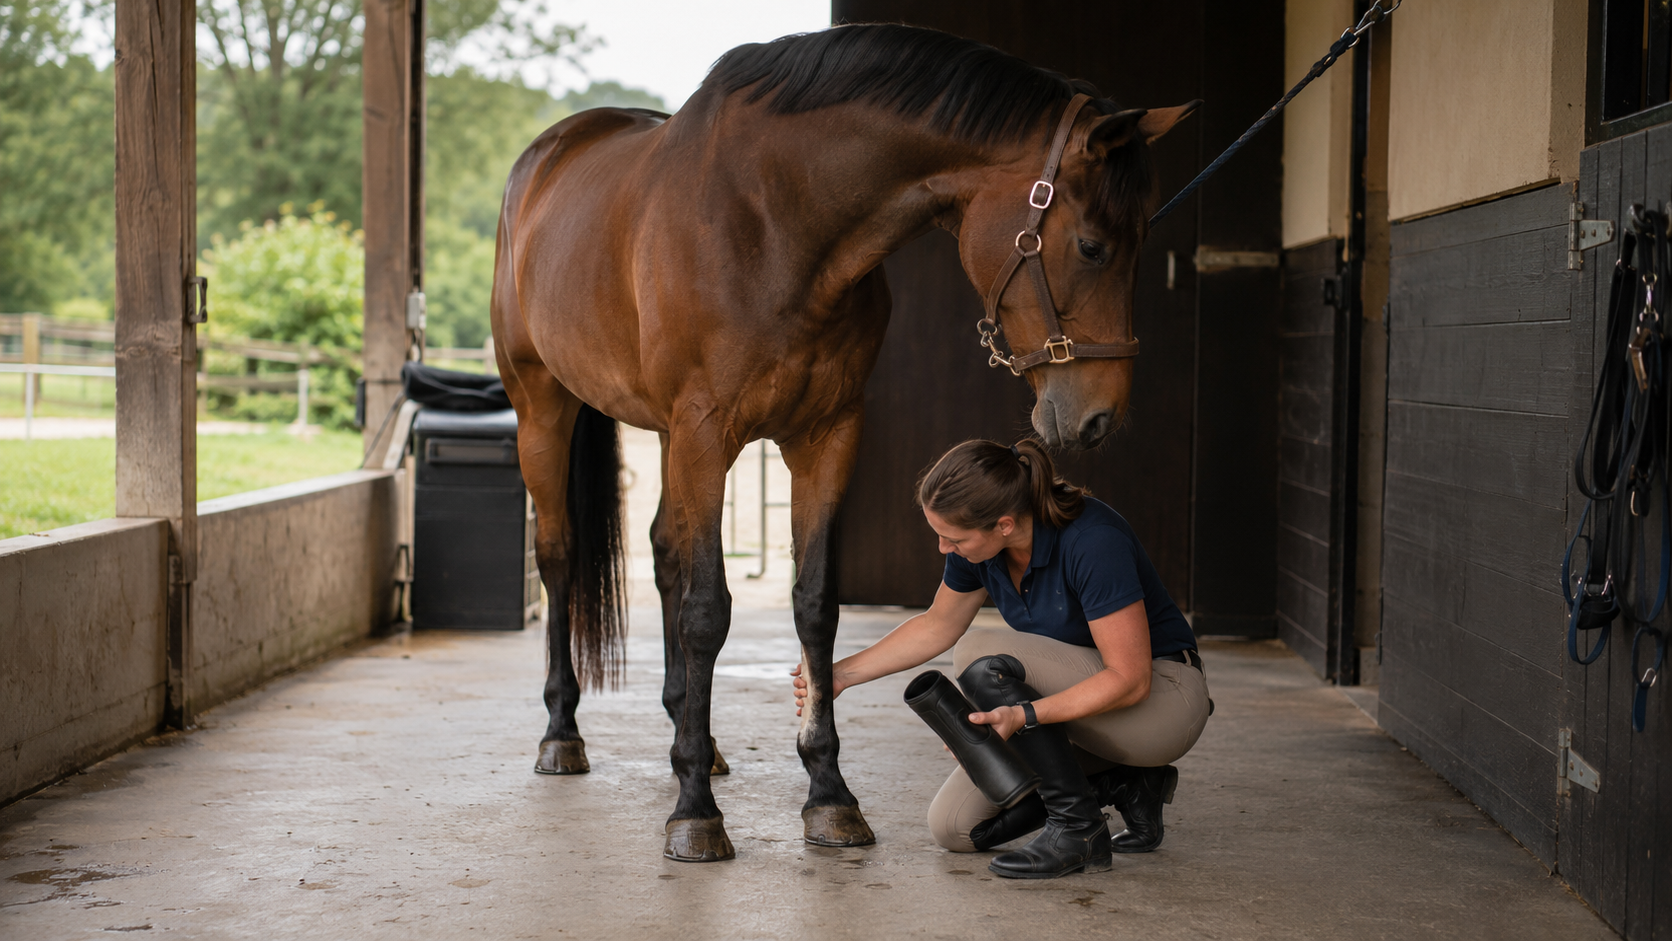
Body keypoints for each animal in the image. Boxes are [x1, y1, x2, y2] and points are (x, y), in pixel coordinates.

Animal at [490, 23, 1196, 862]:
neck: (776, 219)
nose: (1096, 417)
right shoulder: (705, 431)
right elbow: (707, 609)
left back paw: (692, 737)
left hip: (662, 433)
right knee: (559, 555)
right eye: (1090, 246)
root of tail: (546, 158)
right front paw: (695, 813)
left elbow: (814, 605)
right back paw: (563, 733)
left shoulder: (825, 435)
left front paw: (828, 794)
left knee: (663, 550)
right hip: (544, 406)